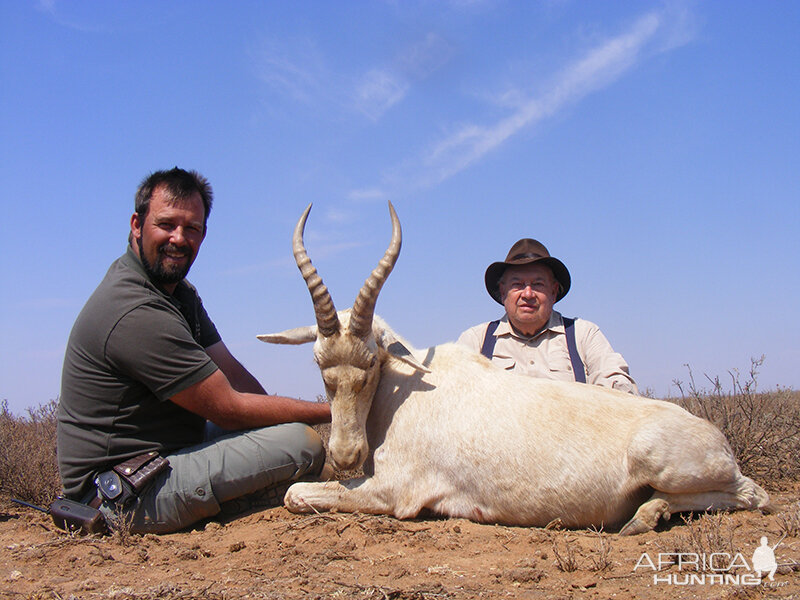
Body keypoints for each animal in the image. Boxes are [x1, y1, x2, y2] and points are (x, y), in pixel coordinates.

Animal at [260, 203, 768, 536]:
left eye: (371, 358)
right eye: (319, 362)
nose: (345, 455)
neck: (402, 391)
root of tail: (718, 438)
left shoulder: (393, 491)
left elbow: (296, 494)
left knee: (754, 495)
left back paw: (646, 516)